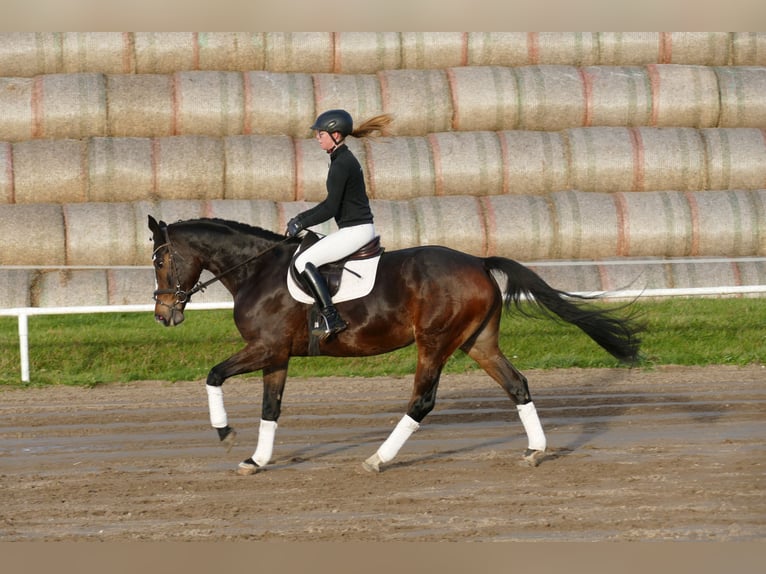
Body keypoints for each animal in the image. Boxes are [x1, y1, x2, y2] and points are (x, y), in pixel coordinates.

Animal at [148, 215, 643, 475]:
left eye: (160, 261)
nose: (163, 314)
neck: (257, 272)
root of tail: (478, 262)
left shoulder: (266, 349)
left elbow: (213, 375)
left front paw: (225, 433)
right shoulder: (277, 355)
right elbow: (271, 407)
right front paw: (256, 459)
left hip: (435, 341)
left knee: (422, 400)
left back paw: (377, 459)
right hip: (477, 342)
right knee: (517, 384)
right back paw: (535, 450)